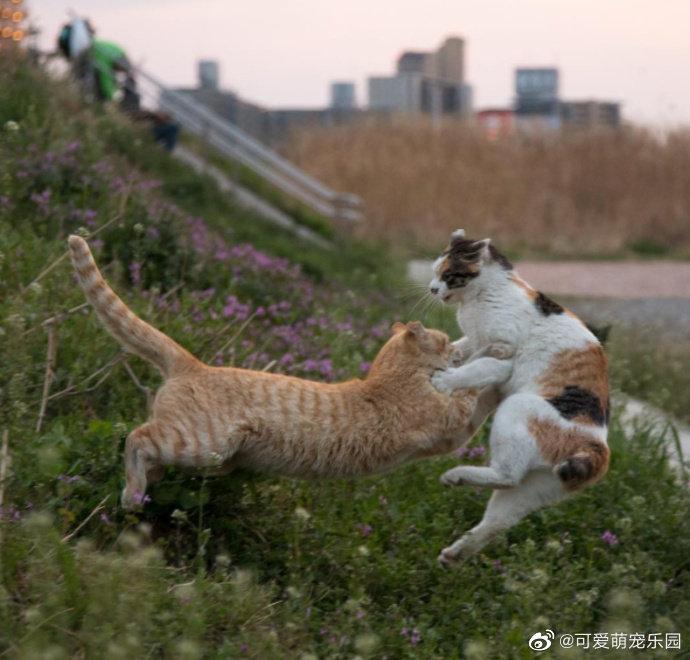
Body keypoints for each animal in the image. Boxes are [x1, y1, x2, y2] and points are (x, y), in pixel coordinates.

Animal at [68, 237, 500, 510]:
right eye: (441, 339)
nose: (451, 346)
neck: (385, 380)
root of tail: (193, 363)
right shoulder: (452, 424)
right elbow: (476, 395)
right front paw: (487, 353)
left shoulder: (449, 438)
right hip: (202, 443)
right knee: (135, 439)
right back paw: (131, 494)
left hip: (212, 460)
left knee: (151, 454)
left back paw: (142, 490)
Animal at [428, 229, 612, 564]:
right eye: (434, 272)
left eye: (447, 274)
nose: (432, 288)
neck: (483, 294)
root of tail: (597, 448)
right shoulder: (475, 340)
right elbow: (462, 348)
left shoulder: (503, 354)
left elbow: (476, 367)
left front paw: (445, 380)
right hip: (529, 490)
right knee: (496, 521)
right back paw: (453, 553)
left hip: (517, 409)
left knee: (506, 474)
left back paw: (455, 476)